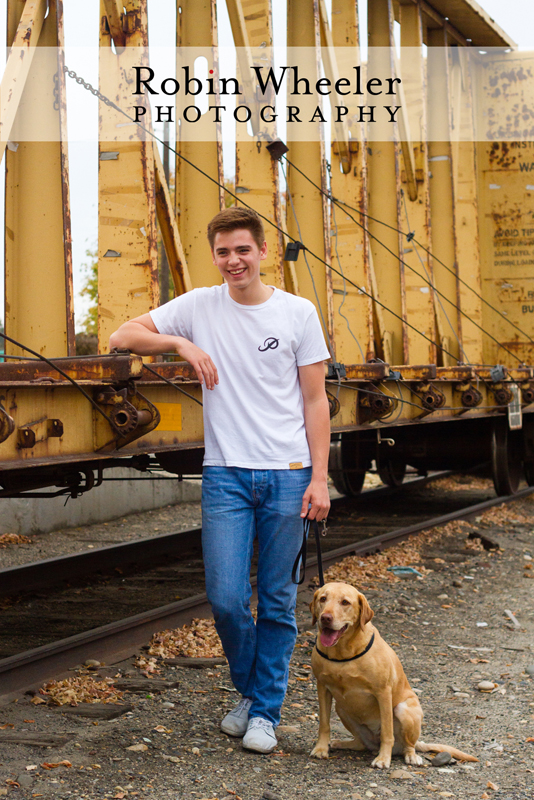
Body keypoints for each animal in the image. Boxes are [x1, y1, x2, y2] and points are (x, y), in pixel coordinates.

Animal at [310, 580, 482, 768]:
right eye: (323, 599)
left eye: (345, 602)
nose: (325, 618)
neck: (343, 653)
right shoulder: (322, 687)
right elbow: (324, 723)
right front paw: (321, 748)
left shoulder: (383, 692)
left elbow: (387, 731)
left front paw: (383, 758)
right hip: (341, 708)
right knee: (361, 743)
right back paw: (342, 743)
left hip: (404, 710)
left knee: (408, 744)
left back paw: (410, 756)